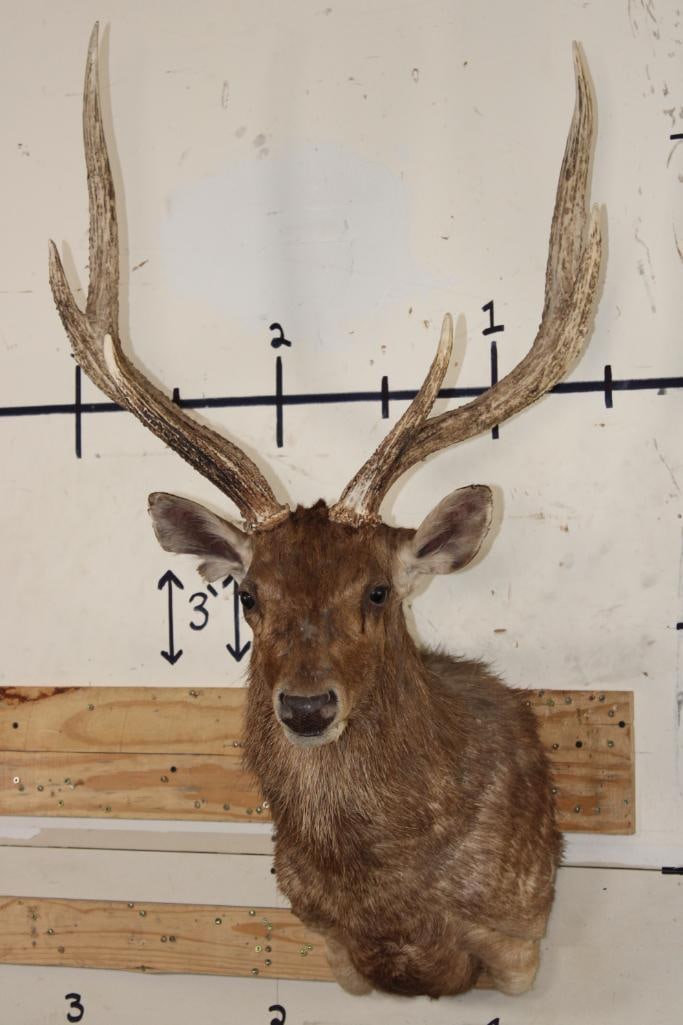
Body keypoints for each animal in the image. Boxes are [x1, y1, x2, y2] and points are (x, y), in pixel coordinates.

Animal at [49, 25, 602, 999]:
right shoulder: (328, 944)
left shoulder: (520, 936)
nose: (305, 706)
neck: (389, 902)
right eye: (248, 595)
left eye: (376, 591)